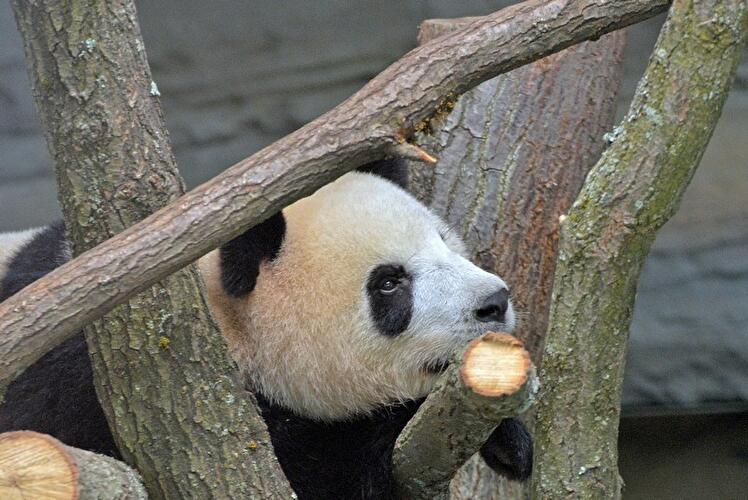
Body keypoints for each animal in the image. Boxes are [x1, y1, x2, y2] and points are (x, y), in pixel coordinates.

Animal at [0, 160, 532, 499]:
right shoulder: (85, 398)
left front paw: (510, 442)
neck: (220, 319)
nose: (493, 302)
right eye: (388, 283)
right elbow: (320, 475)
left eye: (444, 242)